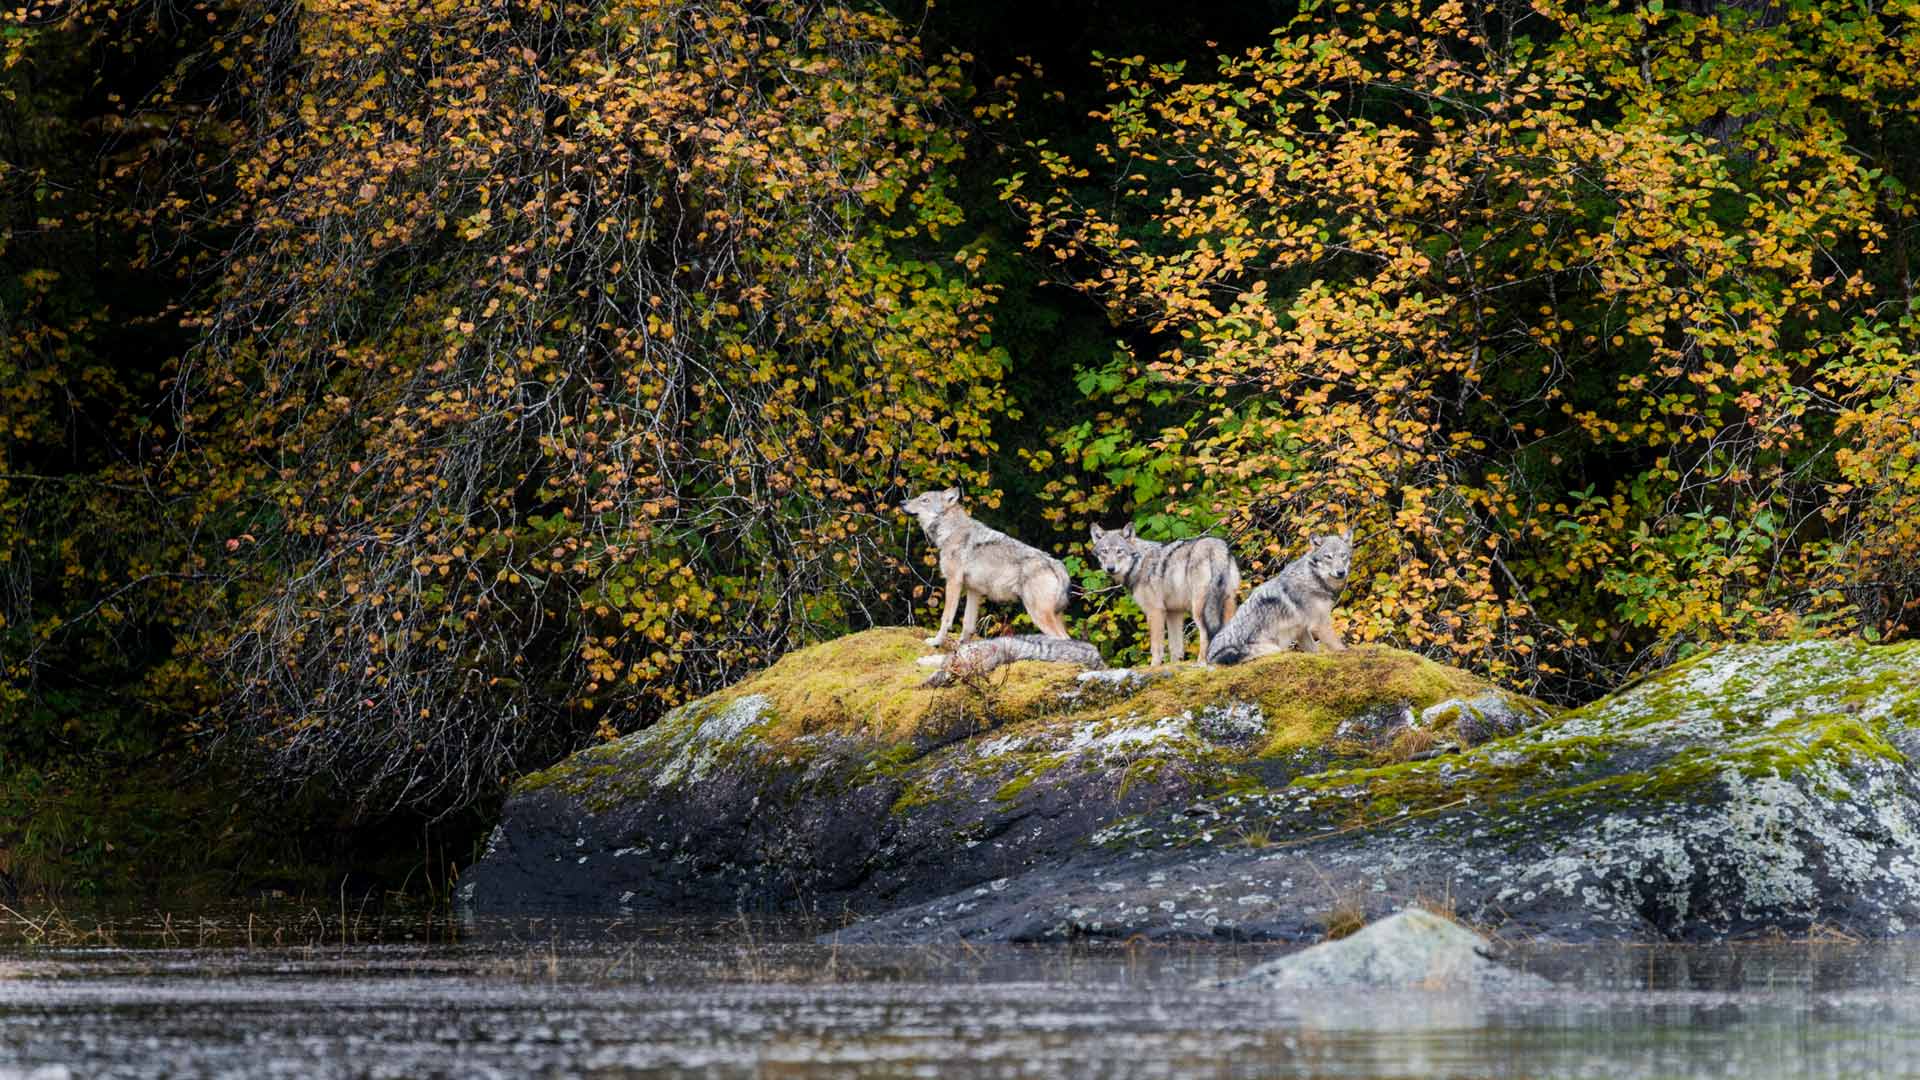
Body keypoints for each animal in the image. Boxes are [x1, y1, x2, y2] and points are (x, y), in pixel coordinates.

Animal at [902, 484, 1075, 641]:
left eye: (924, 500)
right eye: (919, 497)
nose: (902, 502)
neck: (951, 531)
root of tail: (1054, 562)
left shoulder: (953, 582)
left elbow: (946, 618)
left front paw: (936, 642)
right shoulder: (973, 590)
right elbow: (968, 624)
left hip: (1038, 614)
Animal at [1090, 522, 1236, 664]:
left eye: (1119, 551)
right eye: (1104, 551)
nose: (1110, 568)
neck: (1138, 563)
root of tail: (1216, 546)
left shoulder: (1155, 611)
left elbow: (1156, 647)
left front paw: (1155, 666)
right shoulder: (1174, 612)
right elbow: (1175, 647)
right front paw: (1175, 665)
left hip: (1199, 610)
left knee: (1205, 634)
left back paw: (1201, 662)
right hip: (1227, 604)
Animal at [1205, 526, 1359, 661]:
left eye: (1343, 556)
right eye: (1328, 557)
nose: (1341, 572)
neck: (1313, 578)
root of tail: (1209, 660)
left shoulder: (1302, 630)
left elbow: (1314, 650)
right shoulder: (1319, 624)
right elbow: (1338, 646)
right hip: (1273, 648)